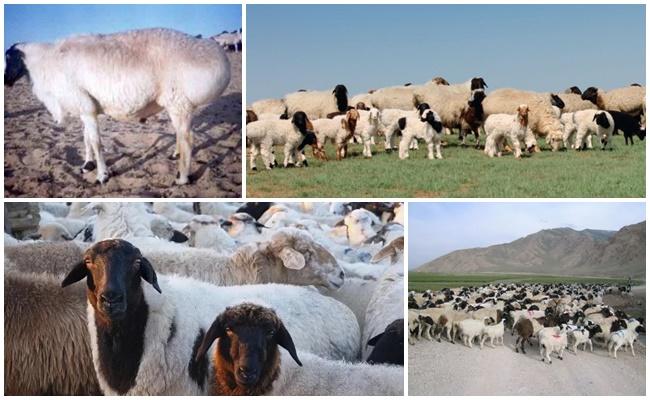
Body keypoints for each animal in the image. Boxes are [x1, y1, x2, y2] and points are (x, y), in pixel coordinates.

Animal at [4, 28, 230, 185]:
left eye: (9, 58)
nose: (6, 81)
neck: (47, 63)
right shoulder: (85, 107)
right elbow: (86, 139)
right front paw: (87, 165)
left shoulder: (86, 108)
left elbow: (96, 143)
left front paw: (102, 176)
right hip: (177, 105)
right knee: (181, 135)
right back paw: (175, 155)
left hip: (179, 103)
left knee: (188, 140)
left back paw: (182, 178)